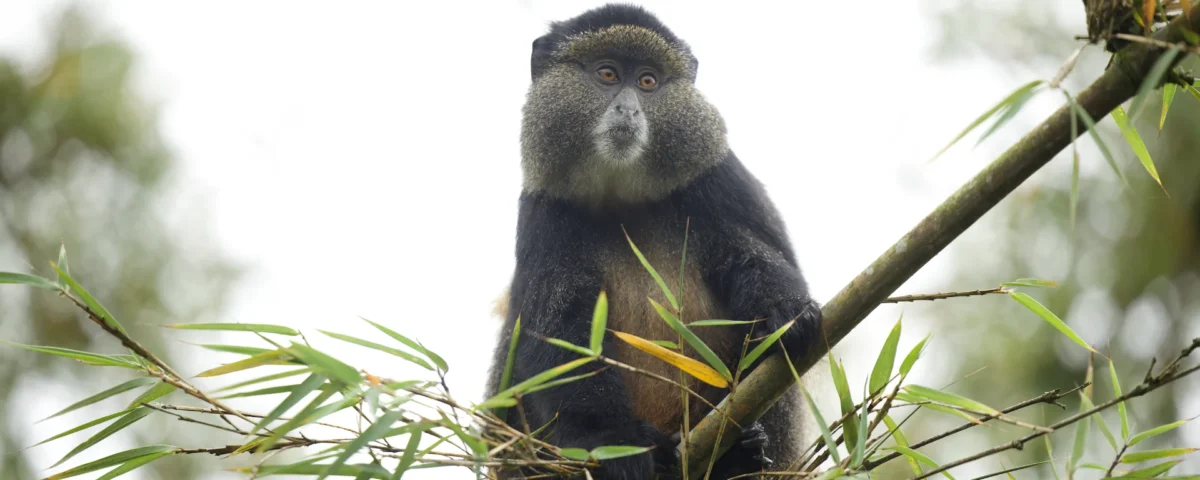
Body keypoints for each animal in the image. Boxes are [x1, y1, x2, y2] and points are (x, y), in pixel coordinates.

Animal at [485, 4, 822, 479]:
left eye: (648, 81)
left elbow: (747, 255)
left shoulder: (715, 180)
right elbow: (559, 329)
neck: (622, 195)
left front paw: (785, 310)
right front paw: (613, 444)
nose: (628, 109)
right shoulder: (544, 212)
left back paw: (737, 455)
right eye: (607, 74)